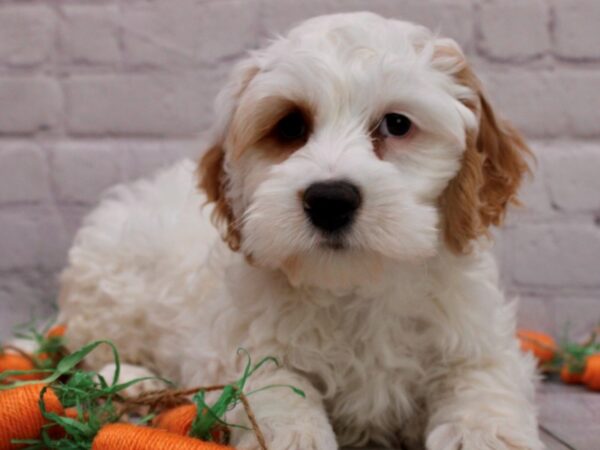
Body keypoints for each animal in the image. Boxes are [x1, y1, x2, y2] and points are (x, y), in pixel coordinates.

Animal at [59, 12, 544, 448]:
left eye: (397, 124)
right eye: (290, 125)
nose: (330, 200)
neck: (356, 288)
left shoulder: (481, 341)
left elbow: (484, 386)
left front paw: (482, 434)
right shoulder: (239, 347)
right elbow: (276, 390)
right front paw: (298, 434)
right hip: (111, 285)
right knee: (93, 346)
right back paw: (134, 379)